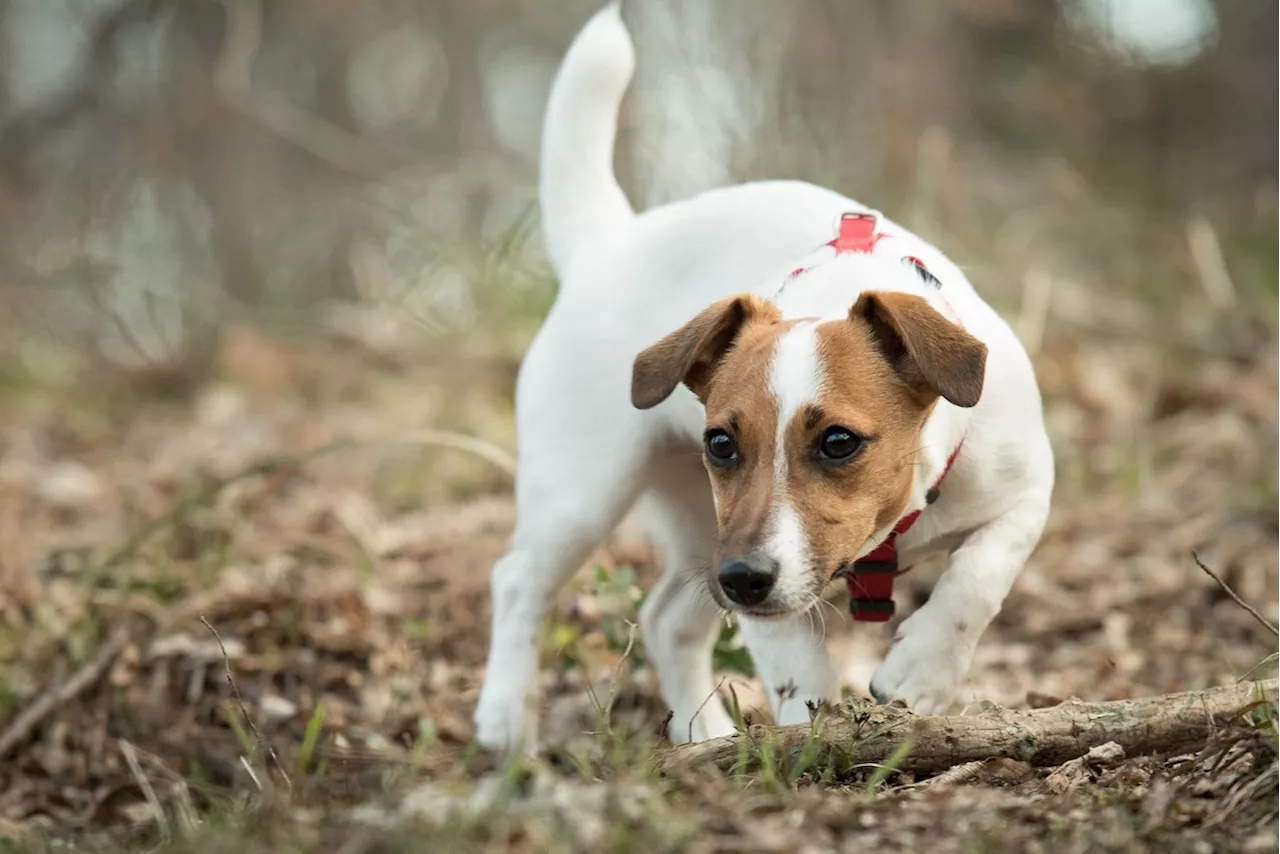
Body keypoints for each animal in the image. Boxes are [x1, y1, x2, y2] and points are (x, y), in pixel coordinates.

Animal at [476, 0, 1054, 752]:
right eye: (722, 443)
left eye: (838, 442)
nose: (744, 579)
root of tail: (606, 244)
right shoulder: (739, 552)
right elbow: (785, 649)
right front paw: (808, 714)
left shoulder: (1025, 494)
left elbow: (981, 577)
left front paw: (922, 672)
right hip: (588, 495)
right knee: (517, 579)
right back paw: (503, 720)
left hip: (691, 525)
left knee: (666, 619)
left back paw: (703, 737)